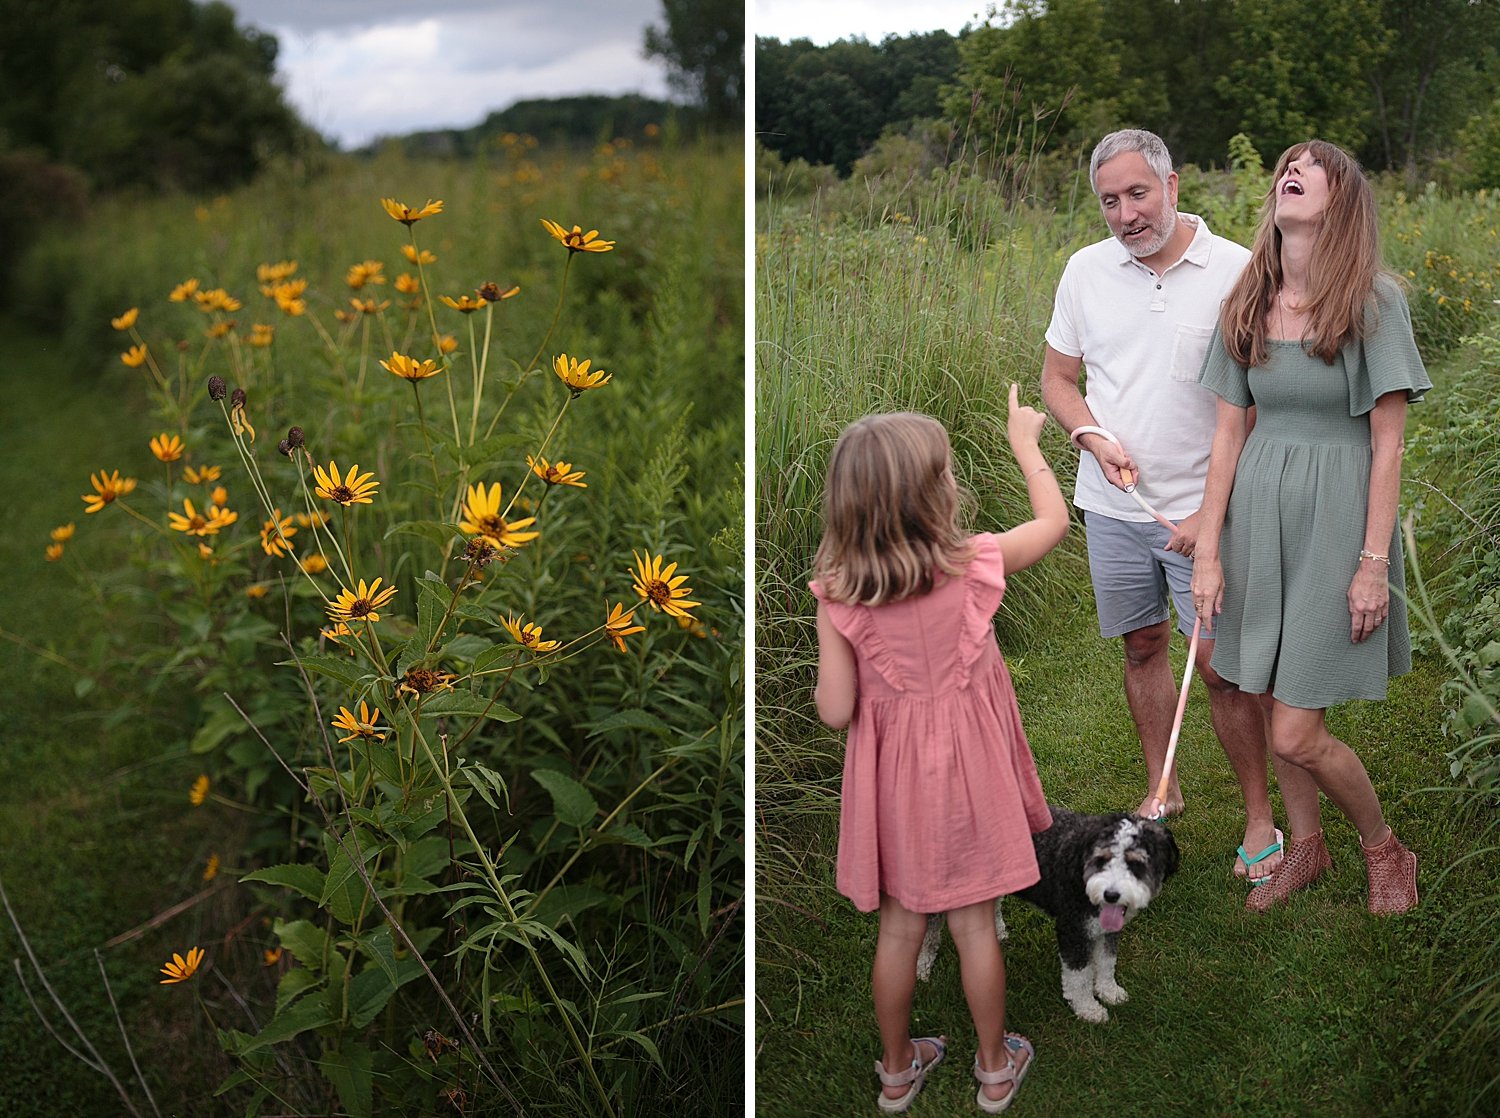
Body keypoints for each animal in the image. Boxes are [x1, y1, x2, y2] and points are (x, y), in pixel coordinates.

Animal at [912, 804, 1182, 1020]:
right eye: (1102, 858)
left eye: (1136, 864)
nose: (1111, 895)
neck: (1081, 870)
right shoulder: (1072, 930)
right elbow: (1079, 976)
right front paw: (1088, 1009)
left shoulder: (1106, 930)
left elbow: (1106, 962)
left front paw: (1109, 992)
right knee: (930, 931)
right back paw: (922, 967)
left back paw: (997, 931)